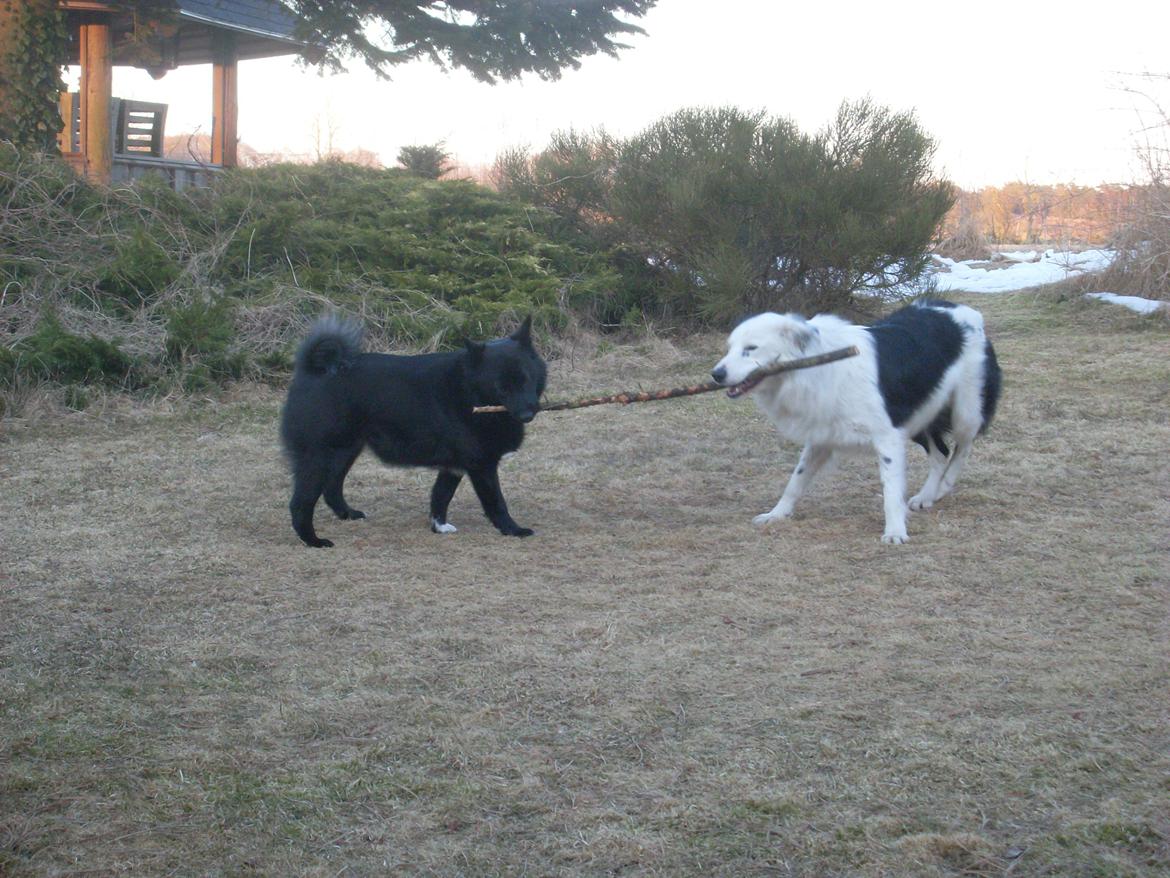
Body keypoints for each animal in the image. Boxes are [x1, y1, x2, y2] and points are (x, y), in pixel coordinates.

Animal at [280, 316, 545, 550]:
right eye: (501, 387)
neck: (469, 390)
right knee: (300, 504)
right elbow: (496, 502)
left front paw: (439, 526)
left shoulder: (454, 466)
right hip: (318, 458)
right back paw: (313, 541)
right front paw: (513, 529)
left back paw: (348, 514)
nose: (527, 414)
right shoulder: (482, 466)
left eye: (526, 379)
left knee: (332, 488)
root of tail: (313, 369)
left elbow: (440, 496)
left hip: (344, 452)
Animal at [706, 302, 1001, 543]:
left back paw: (946, 484)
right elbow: (795, 481)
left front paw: (895, 531)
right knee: (940, 453)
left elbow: (891, 491)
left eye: (750, 349)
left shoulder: (887, 436)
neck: (813, 365)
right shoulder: (822, 436)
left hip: (965, 409)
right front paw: (777, 514)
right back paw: (927, 496)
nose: (716, 374)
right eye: (730, 349)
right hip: (916, 413)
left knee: (963, 445)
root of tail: (968, 313)